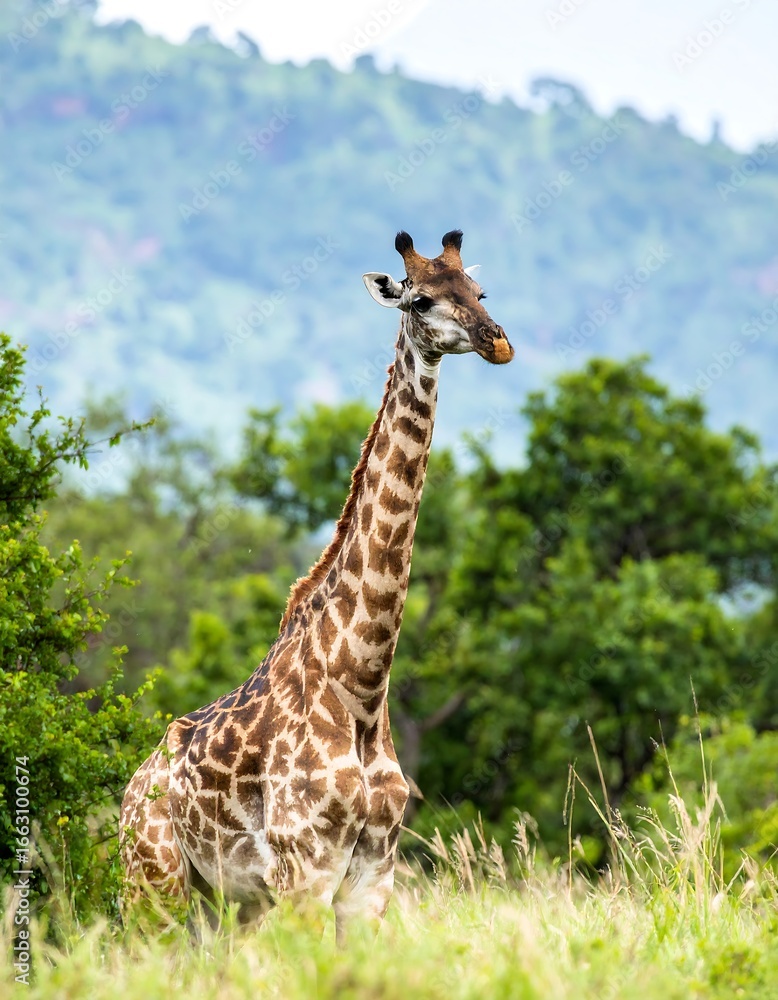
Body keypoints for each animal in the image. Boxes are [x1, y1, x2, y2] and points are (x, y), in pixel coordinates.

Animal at [120, 229, 514, 939]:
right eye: (419, 299)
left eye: (479, 290)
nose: (496, 339)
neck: (360, 687)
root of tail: (127, 797)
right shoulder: (303, 874)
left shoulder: (372, 879)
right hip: (152, 887)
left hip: (221, 903)